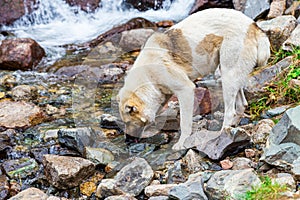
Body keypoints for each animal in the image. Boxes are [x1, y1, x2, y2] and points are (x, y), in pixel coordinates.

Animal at [116, 8, 270, 149]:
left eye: (128, 122)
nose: (127, 141)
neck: (148, 76)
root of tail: (253, 25)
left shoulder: (185, 90)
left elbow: (184, 122)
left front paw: (181, 143)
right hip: (230, 74)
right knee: (242, 104)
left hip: (227, 76)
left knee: (230, 111)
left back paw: (222, 134)